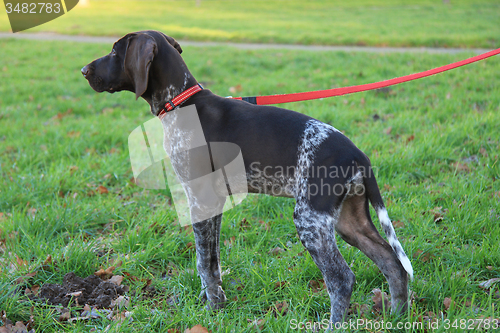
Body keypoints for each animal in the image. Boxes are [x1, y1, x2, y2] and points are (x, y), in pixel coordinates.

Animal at [81, 30, 410, 326]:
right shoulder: (213, 203)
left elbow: (202, 262)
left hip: (311, 221)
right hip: (347, 220)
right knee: (393, 262)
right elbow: (213, 262)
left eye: (115, 51)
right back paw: (397, 316)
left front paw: (211, 311)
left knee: (342, 279)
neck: (181, 101)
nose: (84, 71)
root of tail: (358, 155)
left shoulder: (199, 199)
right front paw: (216, 303)